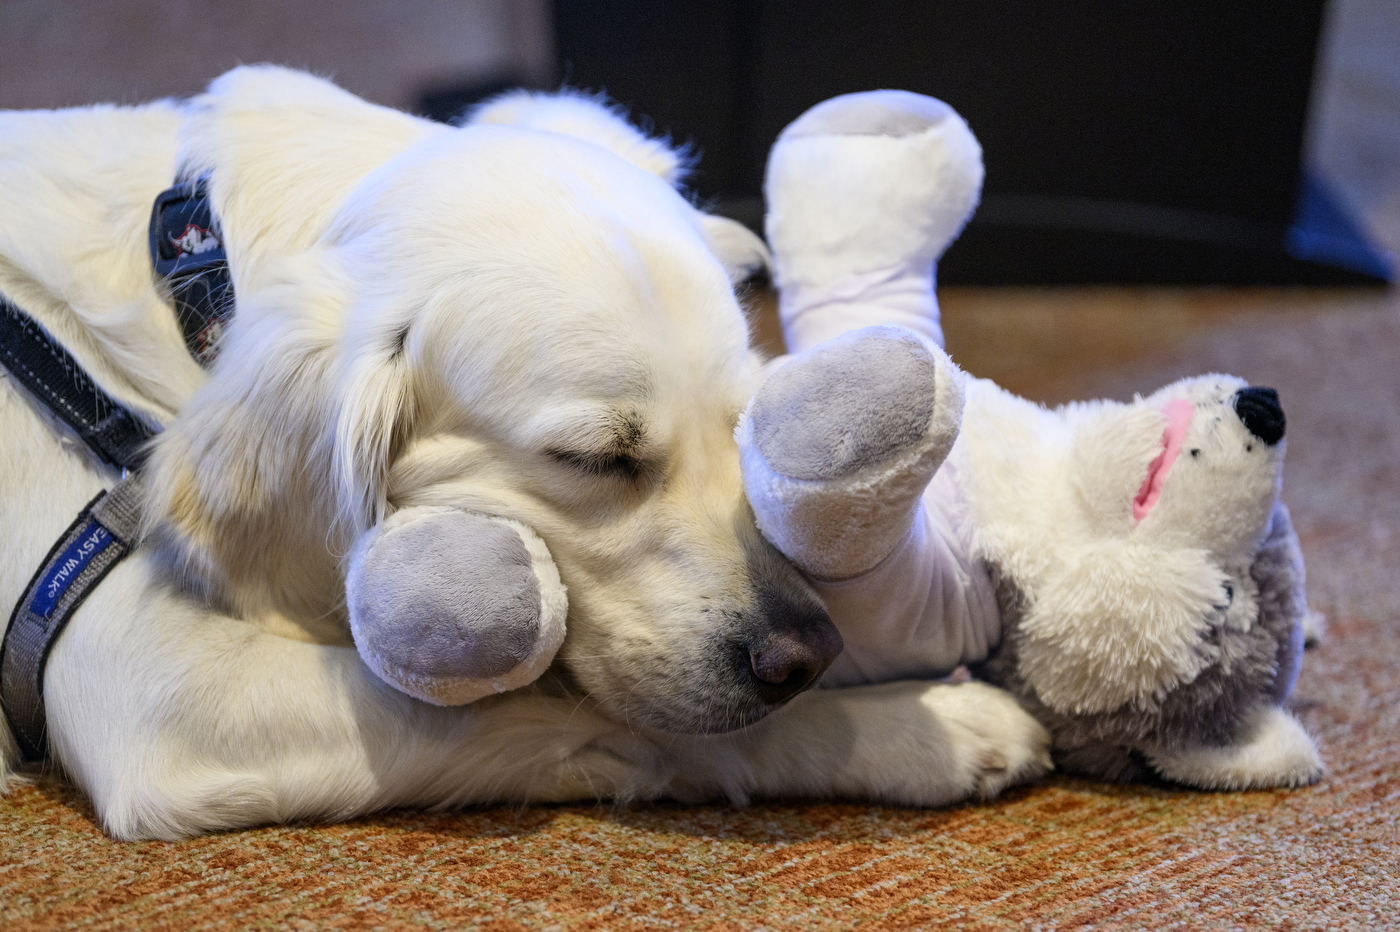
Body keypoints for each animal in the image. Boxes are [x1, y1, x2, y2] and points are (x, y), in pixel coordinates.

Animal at [0, 65, 1052, 834]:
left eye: (742, 426)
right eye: (595, 460)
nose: (805, 653)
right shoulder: (163, 701)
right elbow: (600, 716)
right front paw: (925, 726)